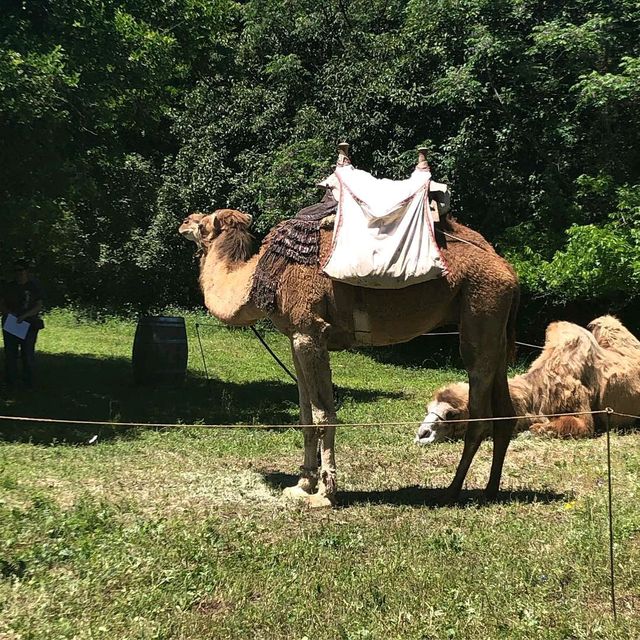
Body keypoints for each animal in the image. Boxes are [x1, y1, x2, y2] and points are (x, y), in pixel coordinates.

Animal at [180, 148, 520, 508]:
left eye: (203, 223)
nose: (184, 221)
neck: (263, 276)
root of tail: (508, 271)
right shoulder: (297, 338)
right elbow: (306, 413)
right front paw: (301, 485)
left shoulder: (310, 333)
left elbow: (323, 414)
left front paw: (325, 493)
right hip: (494, 326)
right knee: (504, 412)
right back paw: (491, 488)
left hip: (480, 310)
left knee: (479, 411)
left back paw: (453, 491)